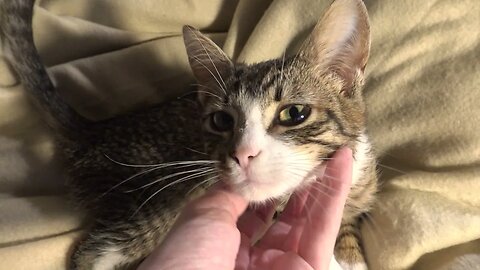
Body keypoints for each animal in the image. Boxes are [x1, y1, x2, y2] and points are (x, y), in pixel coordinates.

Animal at [0, 0, 376, 270]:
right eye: (222, 120)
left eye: (294, 114)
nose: (244, 153)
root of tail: (93, 129)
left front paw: (348, 253)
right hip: (156, 199)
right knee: (93, 253)